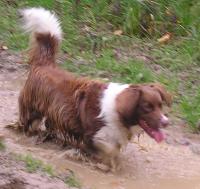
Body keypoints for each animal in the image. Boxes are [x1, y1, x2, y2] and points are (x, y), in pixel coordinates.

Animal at [18, 7, 172, 170]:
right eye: (147, 107)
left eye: (160, 105)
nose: (166, 122)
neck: (118, 111)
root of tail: (45, 64)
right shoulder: (92, 135)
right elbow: (106, 149)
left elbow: (113, 150)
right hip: (31, 111)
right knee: (28, 123)